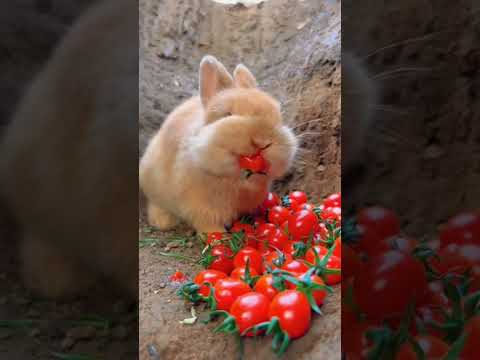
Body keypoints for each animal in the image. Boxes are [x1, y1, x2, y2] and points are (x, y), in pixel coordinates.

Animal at [138, 55, 296, 233]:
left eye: (277, 115)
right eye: (227, 114)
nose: (262, 141)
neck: (237, 180)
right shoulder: (200, 208)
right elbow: (208, 225)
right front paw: (218, 236)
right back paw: (163, 221)